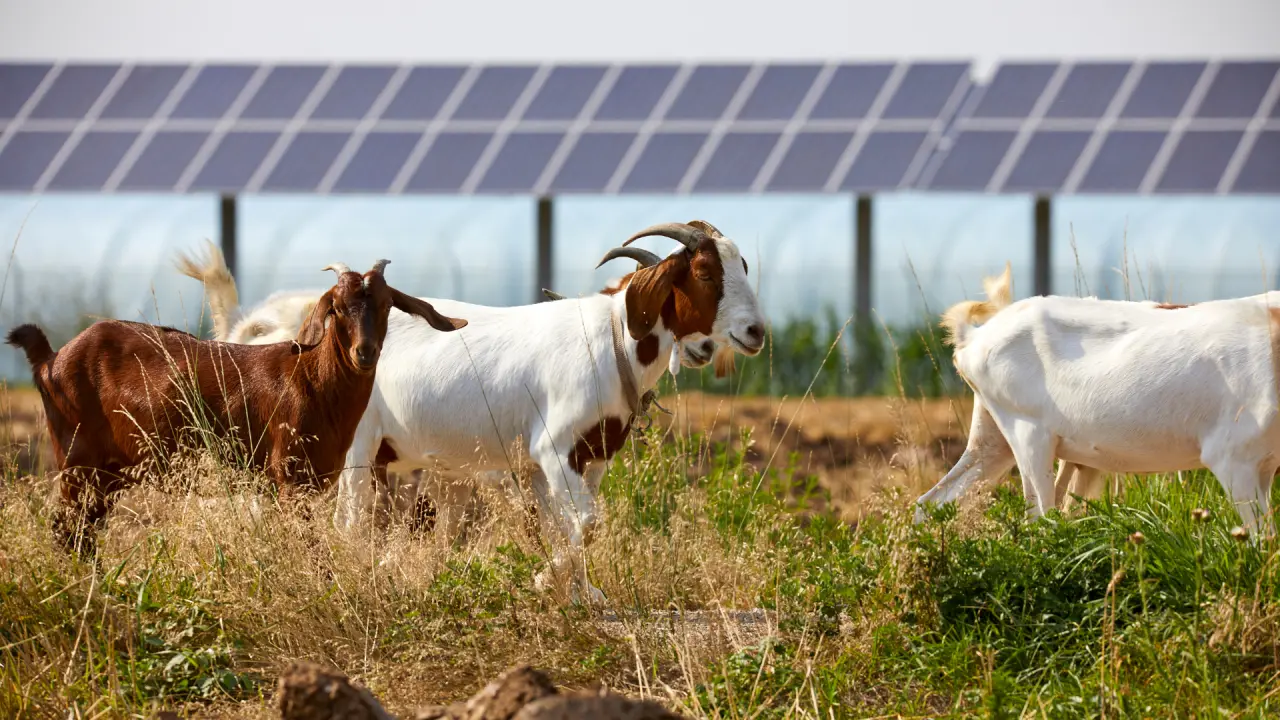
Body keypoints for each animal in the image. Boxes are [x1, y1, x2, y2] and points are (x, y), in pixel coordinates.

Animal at [7, 260, 468, 550]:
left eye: (388, 304)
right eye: (336, 307)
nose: (365, 352)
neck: (310, 381)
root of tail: (51, 359)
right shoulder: (289, 480)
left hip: (109, 473)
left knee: (83, 533)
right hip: (77, 461)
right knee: (66, 530)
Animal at [916, 262, 1280, 532]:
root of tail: (974, 337)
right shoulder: (1233, 459)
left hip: (992, 443)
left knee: (930, 503)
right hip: (1028, 436)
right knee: (1039, 520)